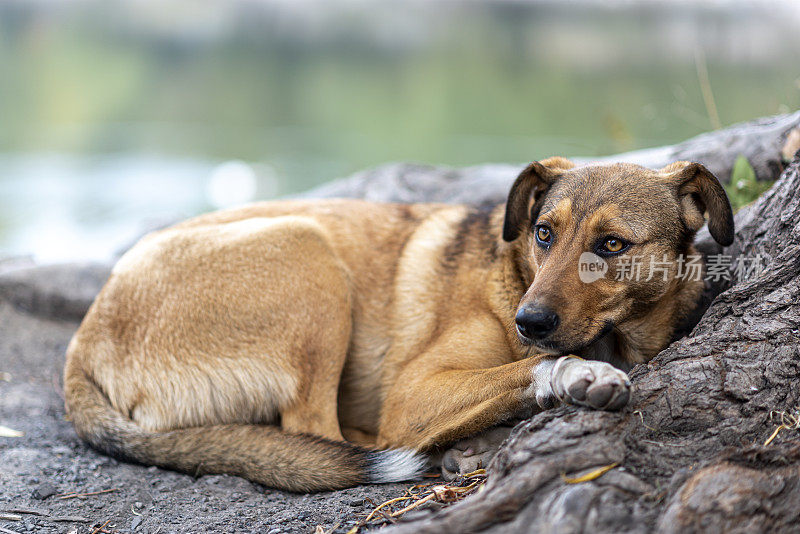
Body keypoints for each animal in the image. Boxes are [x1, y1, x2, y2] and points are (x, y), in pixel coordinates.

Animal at [65, 159, 736, 494]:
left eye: (612, 244)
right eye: (544, 233)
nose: (528, 321)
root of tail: (82, 345)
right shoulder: (414, 391)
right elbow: (531, 368)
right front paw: (577, 375)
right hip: (308, 254)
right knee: (323, 433)